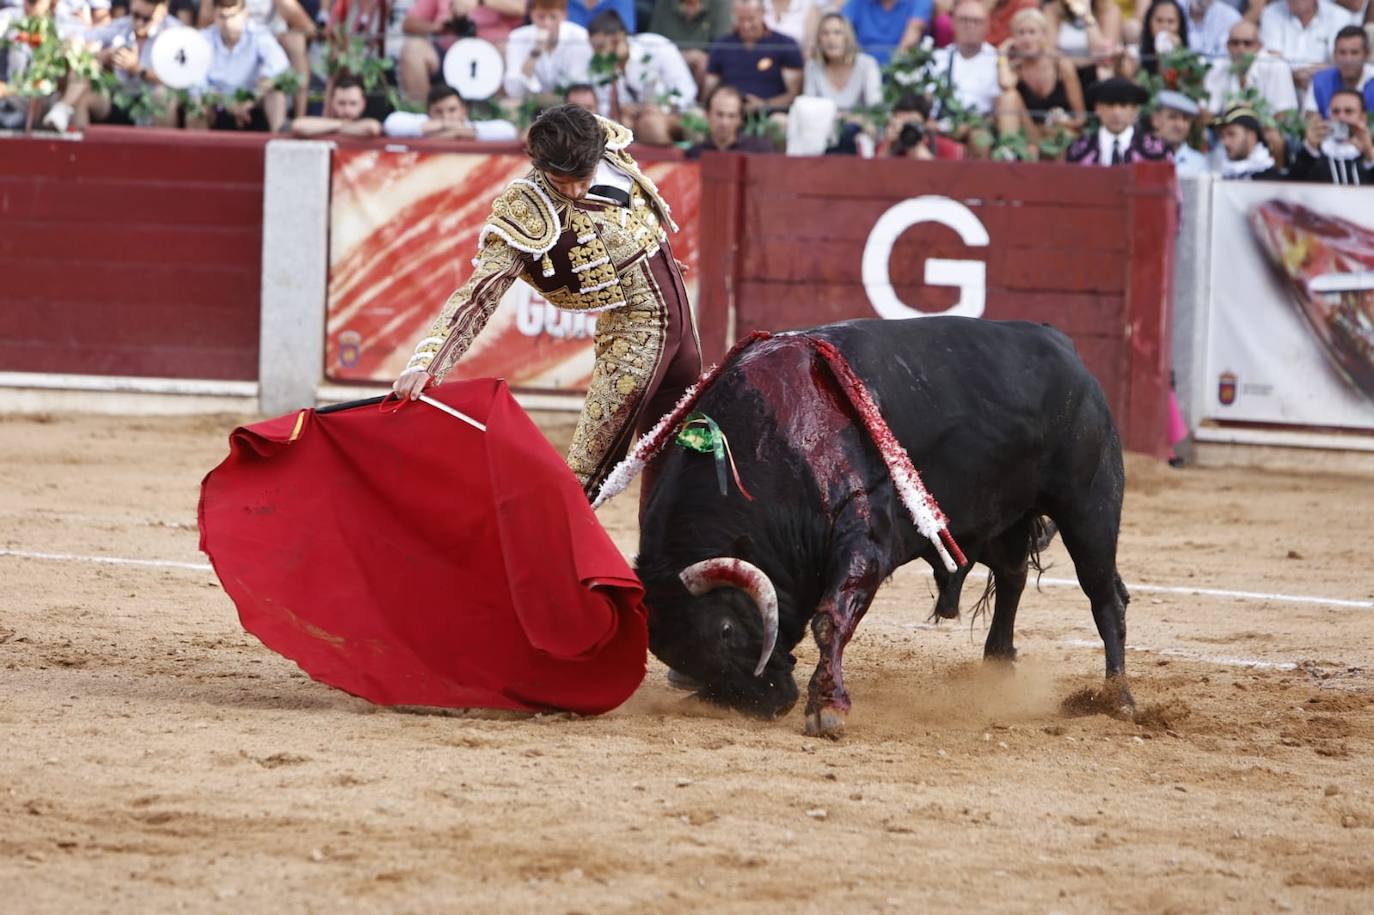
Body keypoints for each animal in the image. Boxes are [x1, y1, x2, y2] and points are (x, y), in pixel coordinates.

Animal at [632, 317, 1126, 736]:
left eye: (725, 631)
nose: (767, 704)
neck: (775, 438)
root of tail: (1061, 343)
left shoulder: (864, 538)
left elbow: (830, 618)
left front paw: (827, 708)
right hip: (994, 519)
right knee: (1013, 576)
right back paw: (998, 671)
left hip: (1089, 507)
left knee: (1104, 594)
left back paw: (1118, 699)